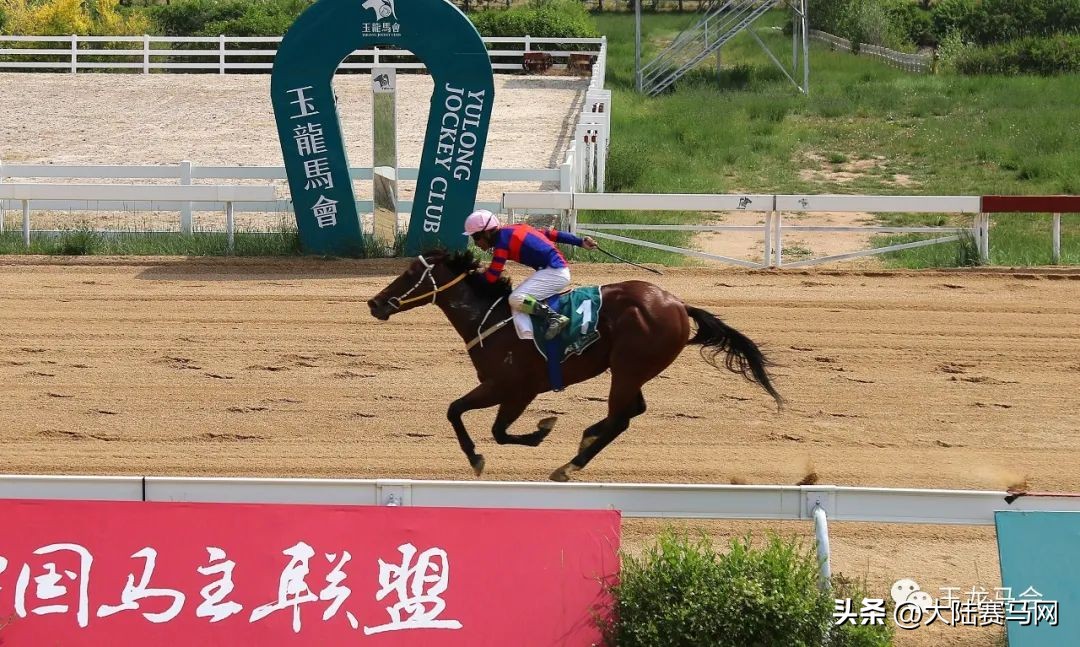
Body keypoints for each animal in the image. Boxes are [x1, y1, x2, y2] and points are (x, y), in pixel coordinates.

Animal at [367, 249, 783, 482]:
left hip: (628, 368)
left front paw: (504, 446)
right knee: (630, 411)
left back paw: (572, 463)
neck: (491, 319)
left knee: (621, 417)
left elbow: (479, 422)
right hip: (632, 371)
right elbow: (464, 415)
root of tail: (679, 304)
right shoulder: (504, 389)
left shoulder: (513, 389)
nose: (374, 303)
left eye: (410, 273)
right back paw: (586, 438)